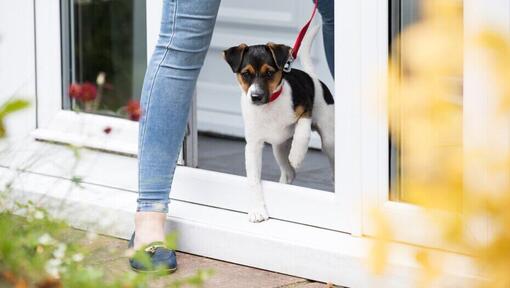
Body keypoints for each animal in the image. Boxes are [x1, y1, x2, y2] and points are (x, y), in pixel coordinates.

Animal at [223, 25, 334, 223]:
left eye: (269, 73)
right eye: (245, 74)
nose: (256, 97)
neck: (269, 106)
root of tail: (312, 77)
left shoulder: (305, 108)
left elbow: (303, 131)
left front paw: (297, 155)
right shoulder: (253, 146)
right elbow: (253, 180)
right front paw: (257, 210)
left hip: (329, 139)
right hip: (278, 147)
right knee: (289, 172)